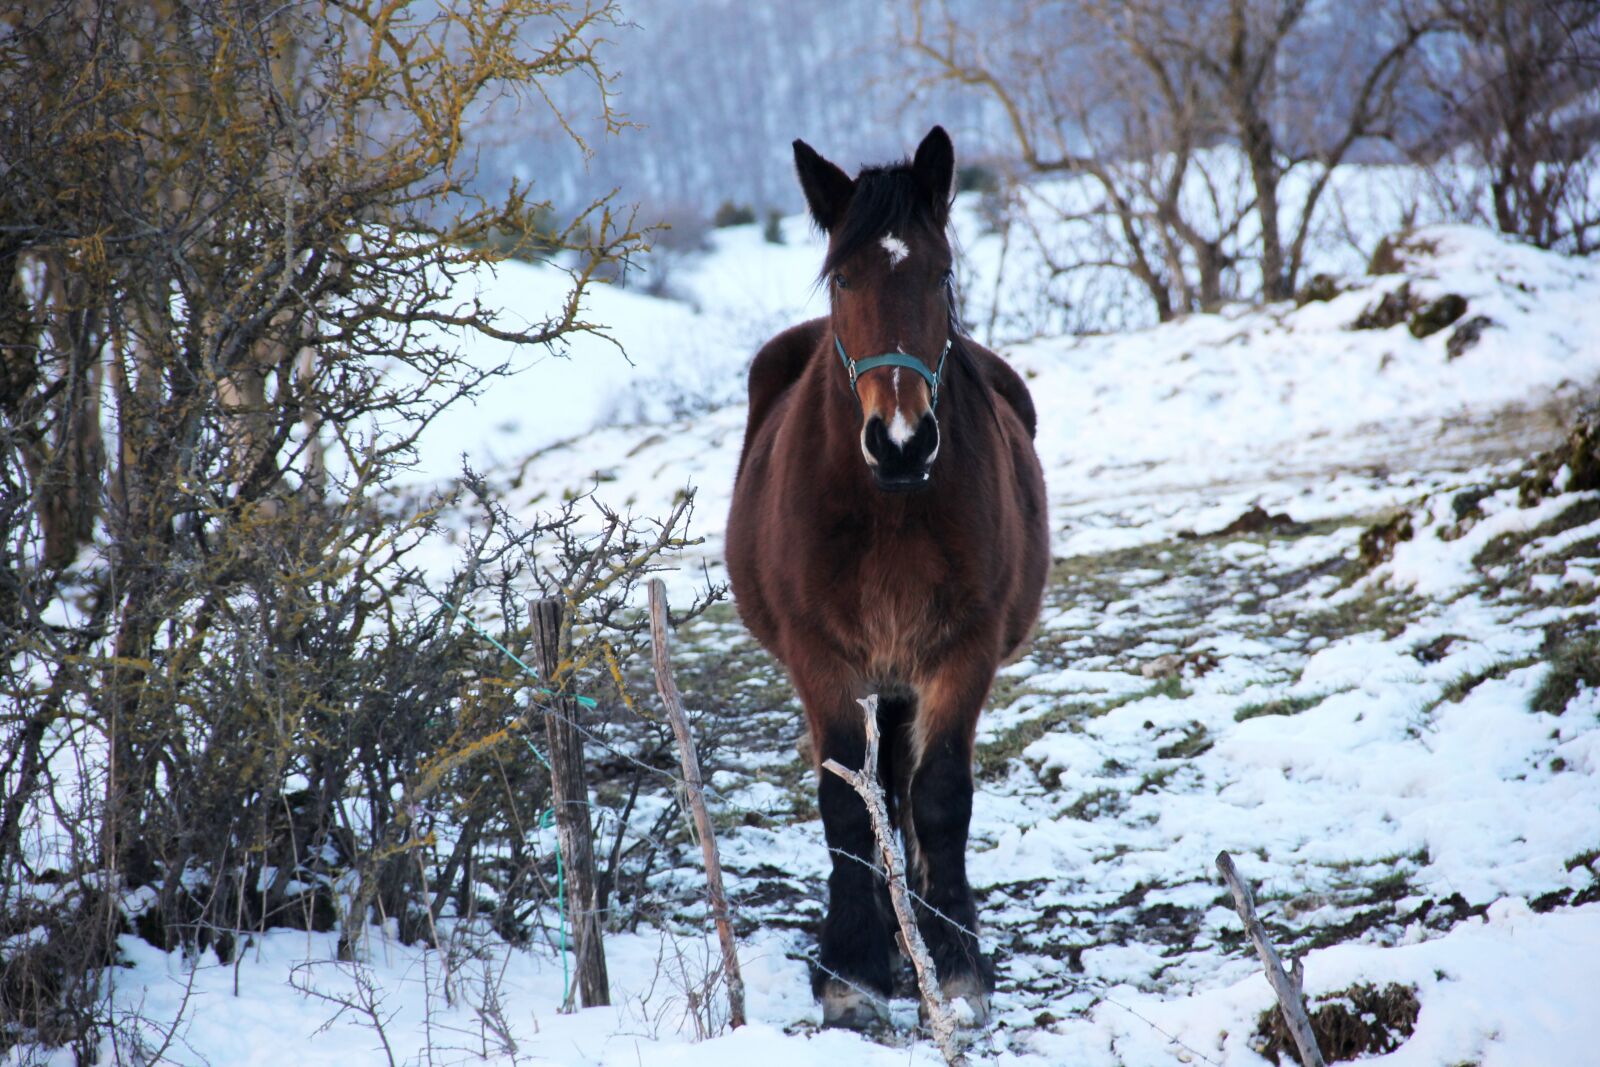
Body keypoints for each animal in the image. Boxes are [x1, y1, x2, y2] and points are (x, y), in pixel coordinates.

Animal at [725, 126, 1049, 1029]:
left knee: (902, 792)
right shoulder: (822, 658)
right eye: (843, 277)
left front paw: (954, 957)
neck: (891, 508)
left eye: (941, 272)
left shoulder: (963, 650)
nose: (901, 441)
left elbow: (938, 795)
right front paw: (853, 968)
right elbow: (844, 805)